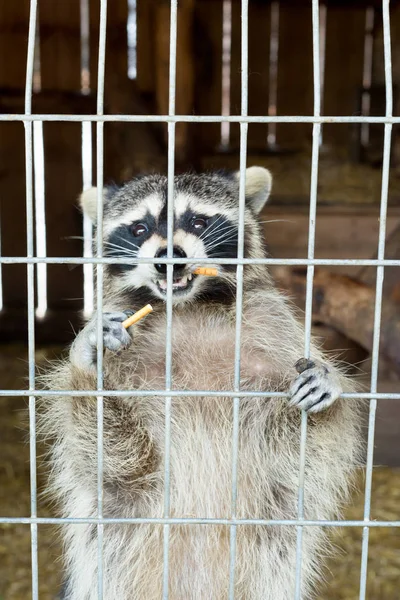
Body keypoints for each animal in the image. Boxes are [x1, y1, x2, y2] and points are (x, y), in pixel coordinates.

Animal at [41, 168, 362, 600]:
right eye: (139, 228)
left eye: (196, 221)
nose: (169, 258)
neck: (188, 307)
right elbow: (114, 460)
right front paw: (89, 367)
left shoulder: (271, 327)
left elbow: (302, 452)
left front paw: (327, 387)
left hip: (267, 569)